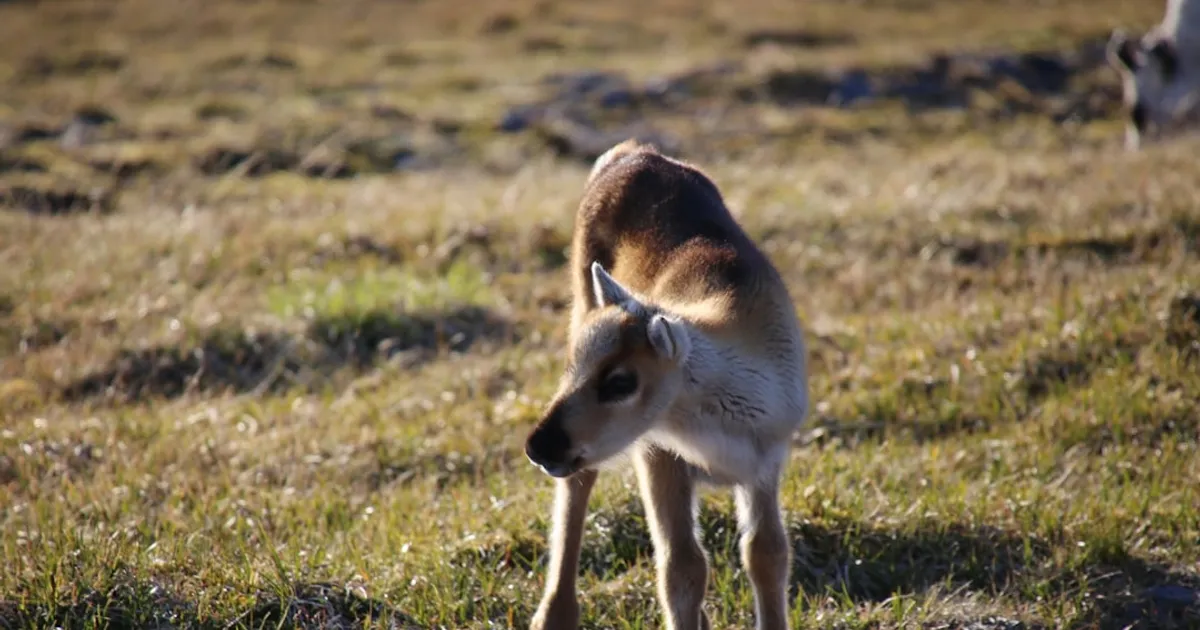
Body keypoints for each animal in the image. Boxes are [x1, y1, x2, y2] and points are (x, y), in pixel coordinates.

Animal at [523, 139, 810, 630]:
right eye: (574, 366)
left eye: (621, 382)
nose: (538, 446)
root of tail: (633, 151)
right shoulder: (658, 454)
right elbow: (682, 567)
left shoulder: (766, 461)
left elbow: (766, 552)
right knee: (578, 486)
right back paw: (553, 614)